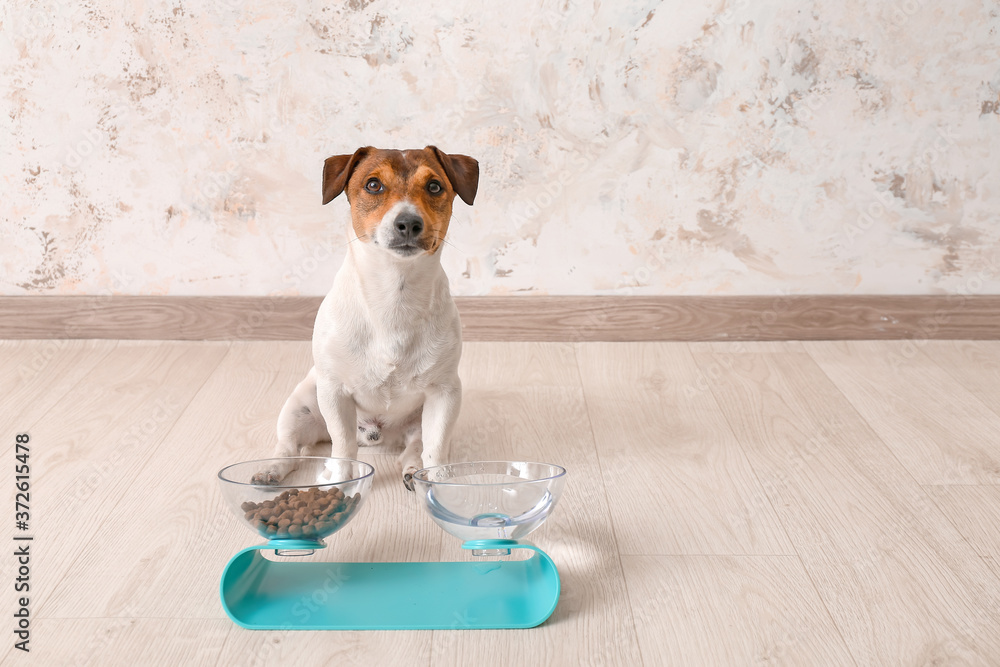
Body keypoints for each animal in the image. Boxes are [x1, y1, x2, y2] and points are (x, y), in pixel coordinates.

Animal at [254, 146, 480, 490]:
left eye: (434, 186)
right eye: (373, 185)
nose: (408, 222)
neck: (394, 295)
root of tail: (376, 435)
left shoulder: (444, 393)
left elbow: (436, 449)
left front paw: (439, 482)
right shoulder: (334, 393)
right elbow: (343, 446)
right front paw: (341, 482)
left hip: (417, 421)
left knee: (416, 447)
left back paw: (413, 469)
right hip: (300, 406)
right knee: (291, 448)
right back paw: (272, 470)